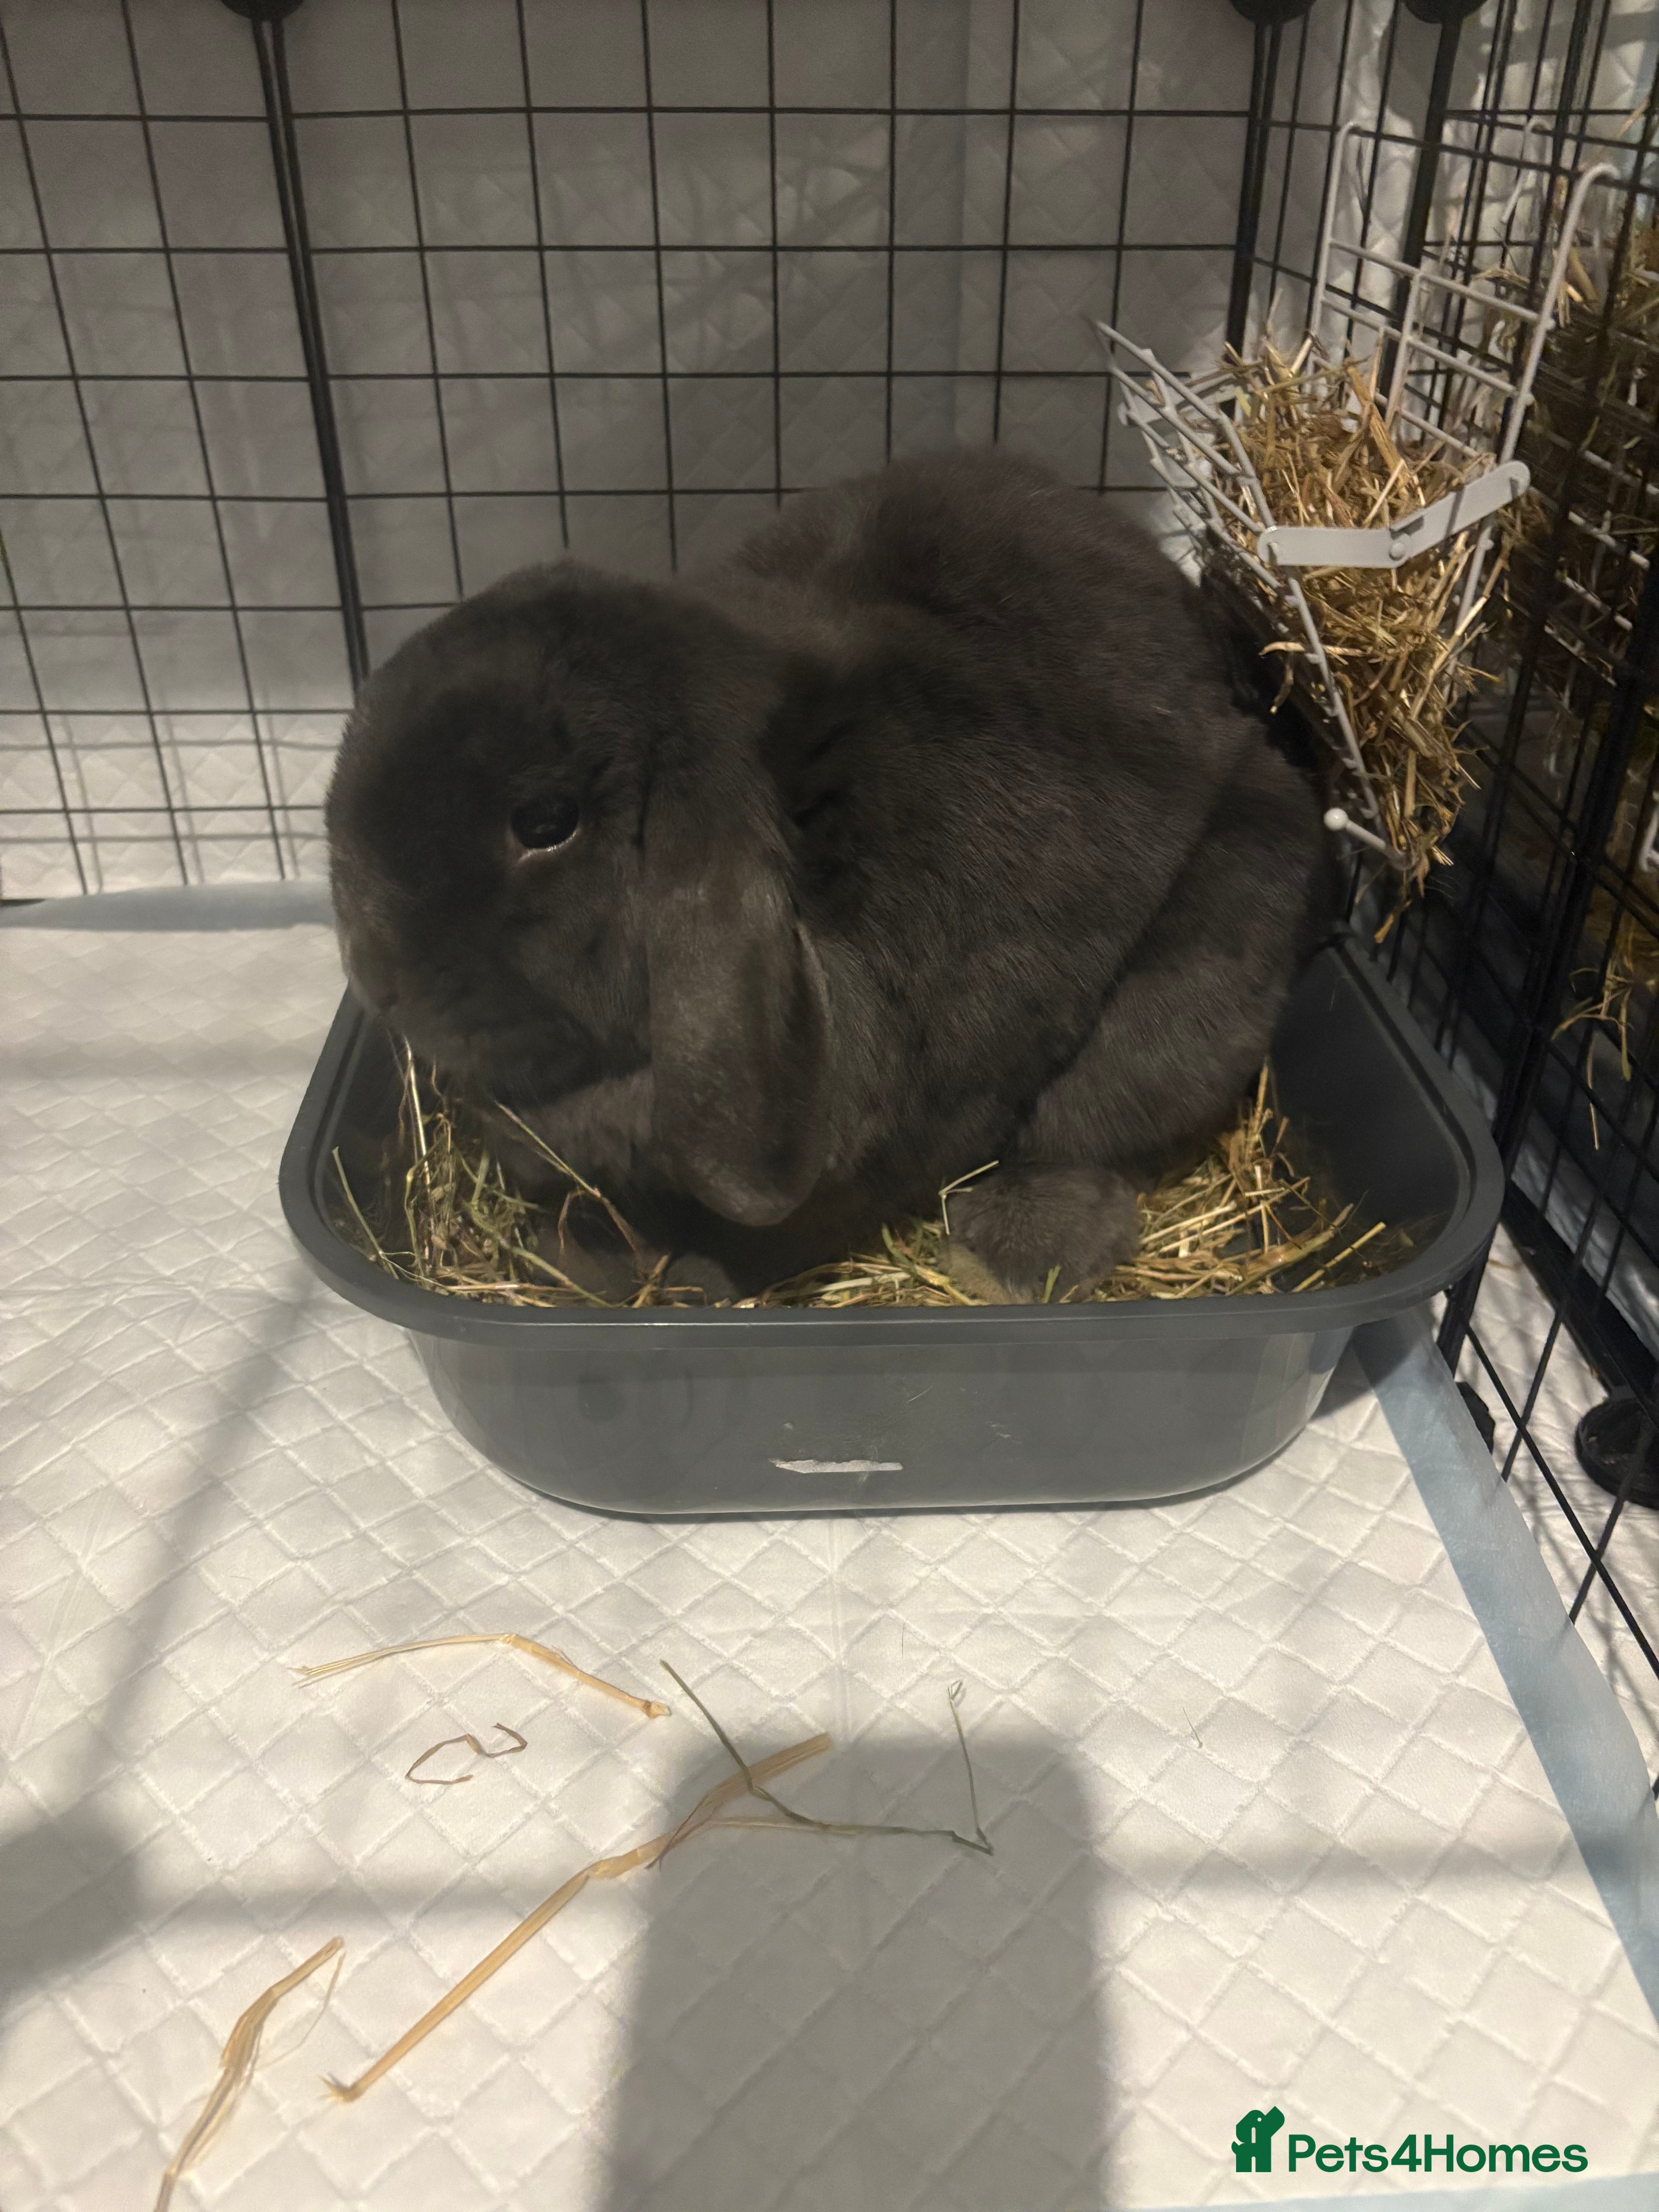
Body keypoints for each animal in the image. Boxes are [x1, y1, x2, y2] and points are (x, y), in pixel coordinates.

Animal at [326, 448, 1336, 1303]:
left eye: (545, 823)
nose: (377, 978)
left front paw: (678, 1277)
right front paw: (582, 1258)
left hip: (1200, 966)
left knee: (1087, 1134)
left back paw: (1009, 1257)